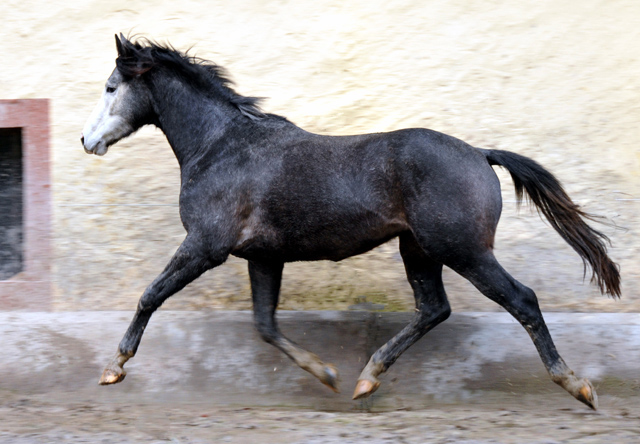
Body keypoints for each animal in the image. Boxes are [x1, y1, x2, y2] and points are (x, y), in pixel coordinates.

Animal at [81, 34, 620, 410]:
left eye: (111, 87)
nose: (87, 141)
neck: (220, 147)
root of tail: (479, 153)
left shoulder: (204, 246)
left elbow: (150, 294)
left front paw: (114, 368)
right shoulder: (263, 257)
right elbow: (265, 325)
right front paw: (326, 374)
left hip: (464, 251)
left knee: (521, 300)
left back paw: (577, 385)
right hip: (419, 250)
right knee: (434, 309)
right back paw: (367, 377)